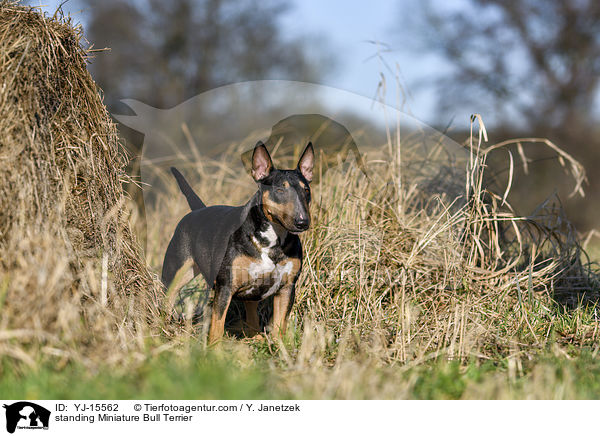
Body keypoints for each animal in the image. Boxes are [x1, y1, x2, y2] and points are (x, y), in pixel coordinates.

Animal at [162, 141, 316, 344]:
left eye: (306, 190)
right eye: (279, 190)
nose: (302, 222)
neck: (273, 241)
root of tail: (197, 211)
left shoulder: (287, 288)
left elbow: (279, 327)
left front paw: (278, 346)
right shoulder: (226, 287)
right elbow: (217, 326)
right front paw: (213, 349)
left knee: (252, 319)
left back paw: (256, 338)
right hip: (176, 273)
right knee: (167, 300)